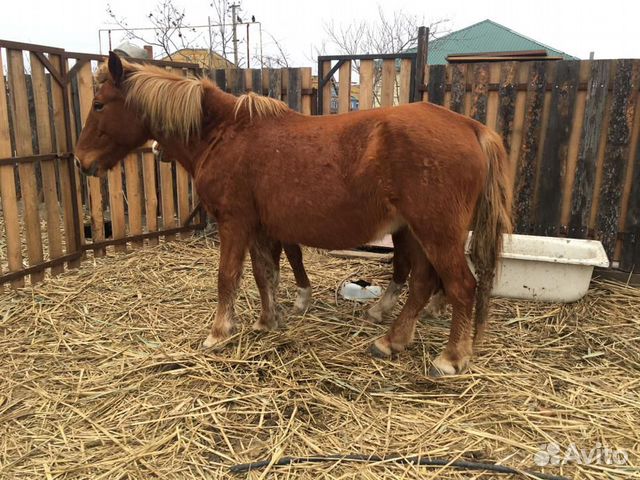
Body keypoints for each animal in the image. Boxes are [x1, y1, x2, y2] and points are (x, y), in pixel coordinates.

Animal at [75, 52, 512, 376]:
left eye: (98, 104)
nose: (81, 161)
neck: (224, 133)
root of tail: (472, 128)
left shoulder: (234, 223)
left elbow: (227, 277)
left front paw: (219, 332)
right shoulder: (258, 227)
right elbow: (263, 274)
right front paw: (269, 321)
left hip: (436, 233)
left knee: (460, 287)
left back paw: (450, 358)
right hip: (418, 233)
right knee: (421, 283)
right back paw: (392, 340)